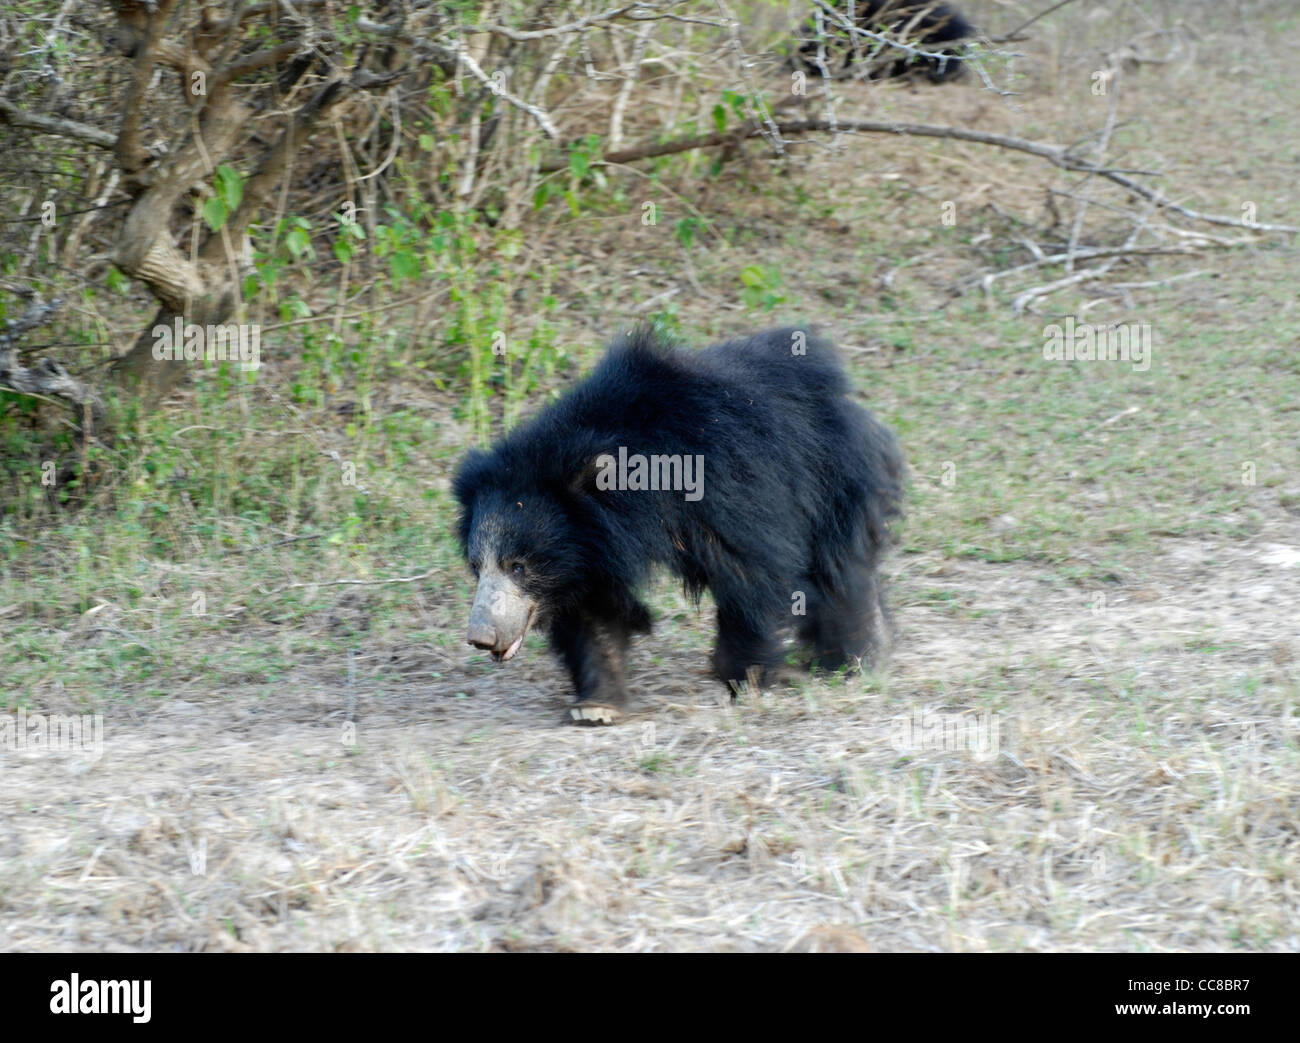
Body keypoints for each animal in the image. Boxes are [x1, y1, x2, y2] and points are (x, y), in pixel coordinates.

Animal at [453, 325, 904, 724]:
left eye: (518, 566)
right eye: (477, 567)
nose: (481, 636)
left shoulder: (724, 486)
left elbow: (751, 573)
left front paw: (744, 679)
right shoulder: (587, 550)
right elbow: (593, 614)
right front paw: (597, 706)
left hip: (831, 476)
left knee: (840, 569)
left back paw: (856, 658)